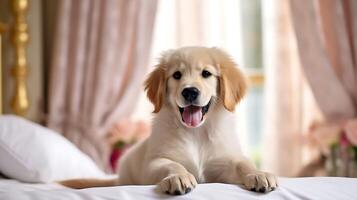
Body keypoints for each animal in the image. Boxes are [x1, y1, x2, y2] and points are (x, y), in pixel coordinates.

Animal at [61, 46, 276, 195]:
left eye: (206, 73)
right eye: (177, 75)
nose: (190, 92)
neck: (196, 133)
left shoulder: (224, 161)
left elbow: (243, 164)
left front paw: (259, 174)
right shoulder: (155, 162)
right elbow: (172, 165)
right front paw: (179, 177)